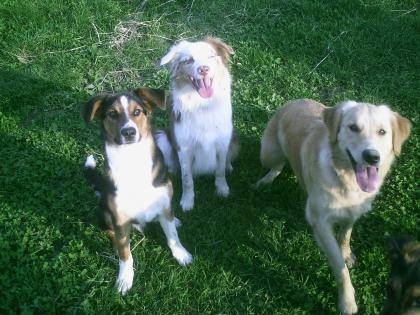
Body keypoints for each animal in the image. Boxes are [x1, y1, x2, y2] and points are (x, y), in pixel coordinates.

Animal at [82, 88, 194, 294]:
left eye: (137, 112)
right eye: (112, 114)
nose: (129, 132)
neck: (132, 161)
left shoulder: (164, 202)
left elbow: (172, 236)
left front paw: (181, 254)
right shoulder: (119, 219)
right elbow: (125, 253)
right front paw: (125, 278)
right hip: (104, 214)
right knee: (112, 234)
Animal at [155, 37, 240, 212]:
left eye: (211, 56)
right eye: (189, 60)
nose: (204, 69)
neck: (202, 105)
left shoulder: (222, 143)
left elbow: (220, 171)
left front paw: (222, 190)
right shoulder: (184, 148)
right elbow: (187, 178)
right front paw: (187, 202)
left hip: (234, 138)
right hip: (163, 139)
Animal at [254, 100, 412, 314]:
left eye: (382, 132)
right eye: (353, 127)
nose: (372, 157)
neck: (345, 178)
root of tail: (292, 101)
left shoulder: (352, 211)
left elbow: (345, 234)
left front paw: (346, 253)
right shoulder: (320, 221)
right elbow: (339, 266)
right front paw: (347, 301)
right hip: (268, 153)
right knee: (277, 166)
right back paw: (266, 181)